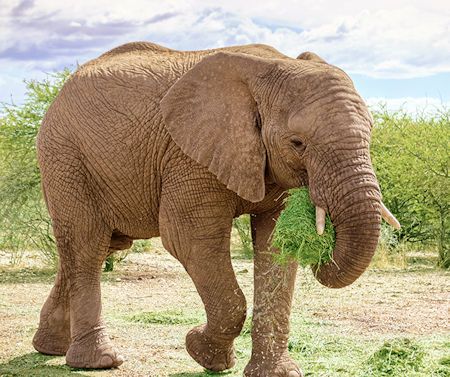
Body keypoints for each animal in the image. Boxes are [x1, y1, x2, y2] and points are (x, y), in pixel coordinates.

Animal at [31, 41, 400, 376]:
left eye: (370, 134)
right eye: (298, 143)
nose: (323, 255)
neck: (270, 70)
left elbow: (275, 246)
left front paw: (276, 373)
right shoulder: (188, 157)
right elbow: (190, 239)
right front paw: (204, 354)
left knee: (95, 247)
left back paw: (49, 348)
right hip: (65, 157)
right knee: (87, 245)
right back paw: (99, 362)